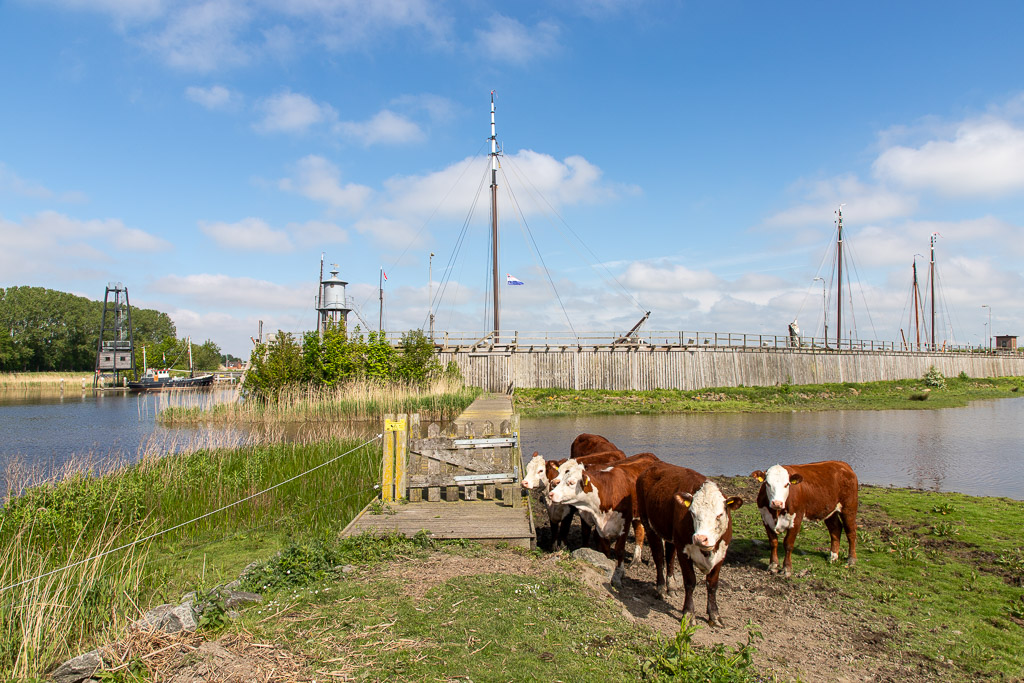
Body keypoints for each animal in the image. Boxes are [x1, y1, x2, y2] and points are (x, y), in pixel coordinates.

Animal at [548, 450, 659, 585]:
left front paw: (619, 573)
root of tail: (650, 455)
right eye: (559, 471)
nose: (552, 489)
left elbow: (619, 550)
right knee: (639, 532)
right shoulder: (594, 521)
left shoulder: (624, 524)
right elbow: (598, 543)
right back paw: (636, 560)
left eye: (571, 482)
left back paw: (652, 562)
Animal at [634, 464, 741, 626]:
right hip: (649, 524)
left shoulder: (721, 553)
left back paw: (671, 587)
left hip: (671, 535)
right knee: (659, 557)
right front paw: (689, 614)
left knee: (669, 557)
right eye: (692, 513)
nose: (700, 538)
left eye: (719, 515)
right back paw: (660, 588)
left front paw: (715, 615)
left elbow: (712, 584)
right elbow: (690, 582)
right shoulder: (684, 551)